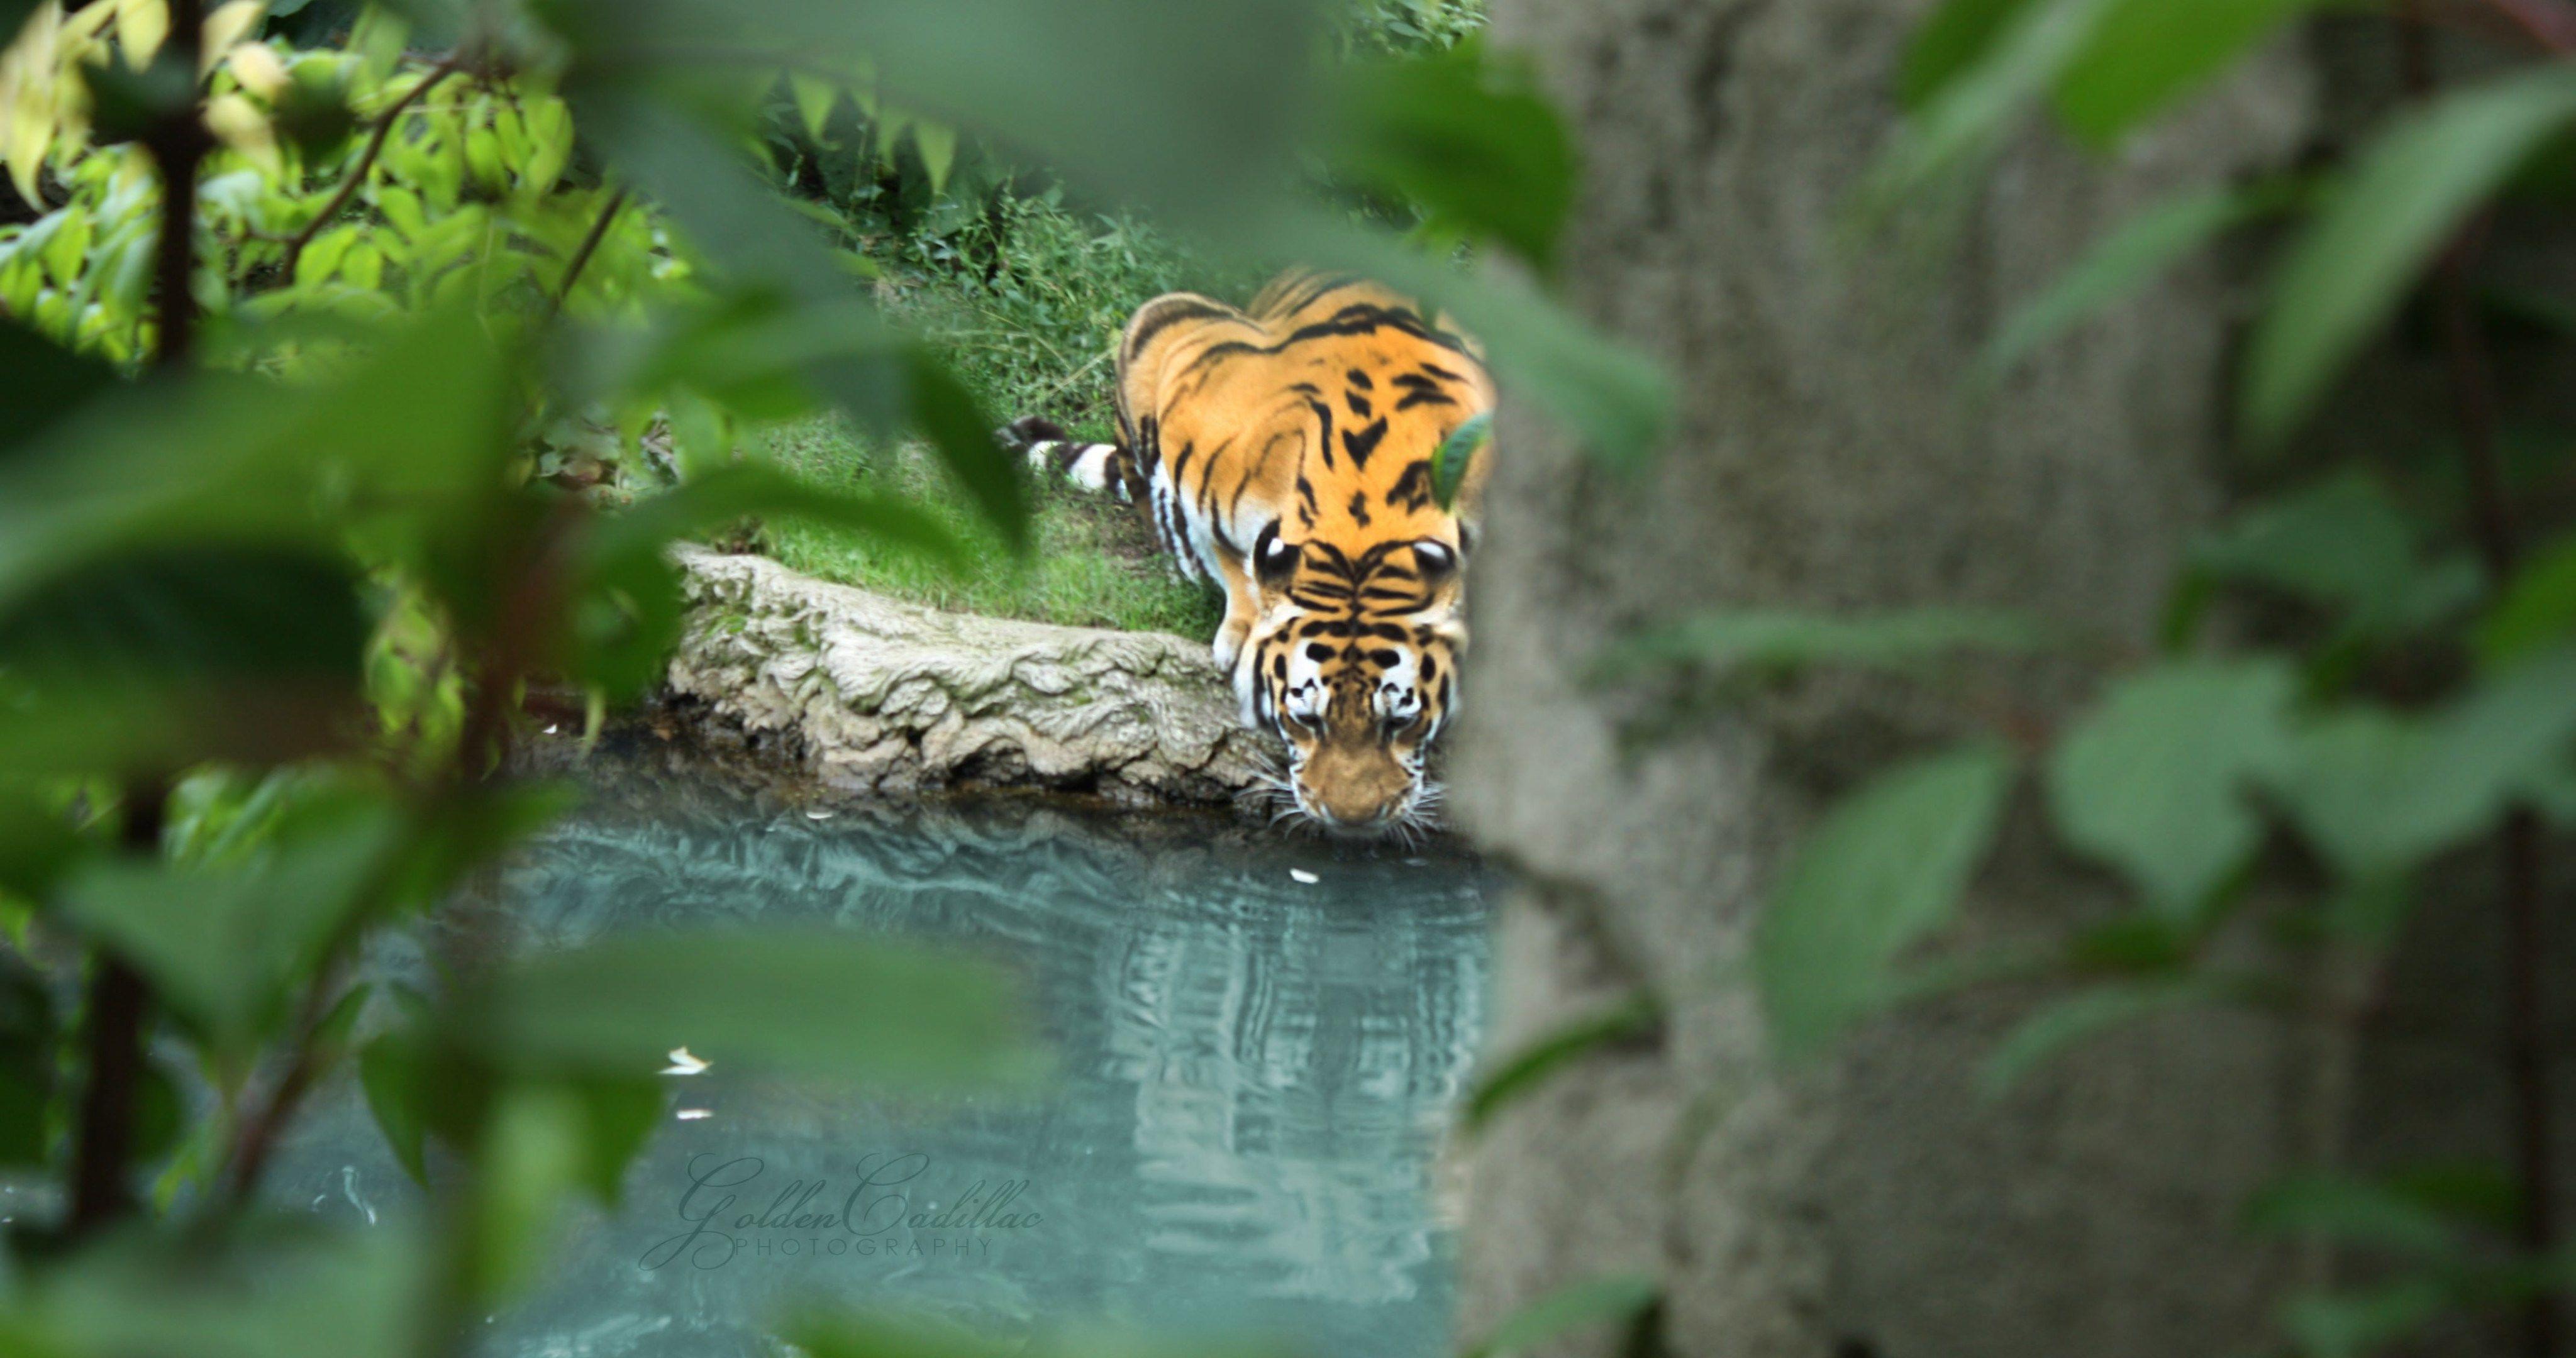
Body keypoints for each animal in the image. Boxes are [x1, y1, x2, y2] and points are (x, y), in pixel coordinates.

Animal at [996, 270, 1494, 838]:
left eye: (1401, 722)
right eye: (1307, 719)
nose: (1351, 821)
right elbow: (1231, 561)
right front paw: (1240, 633)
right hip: (1158, 327)